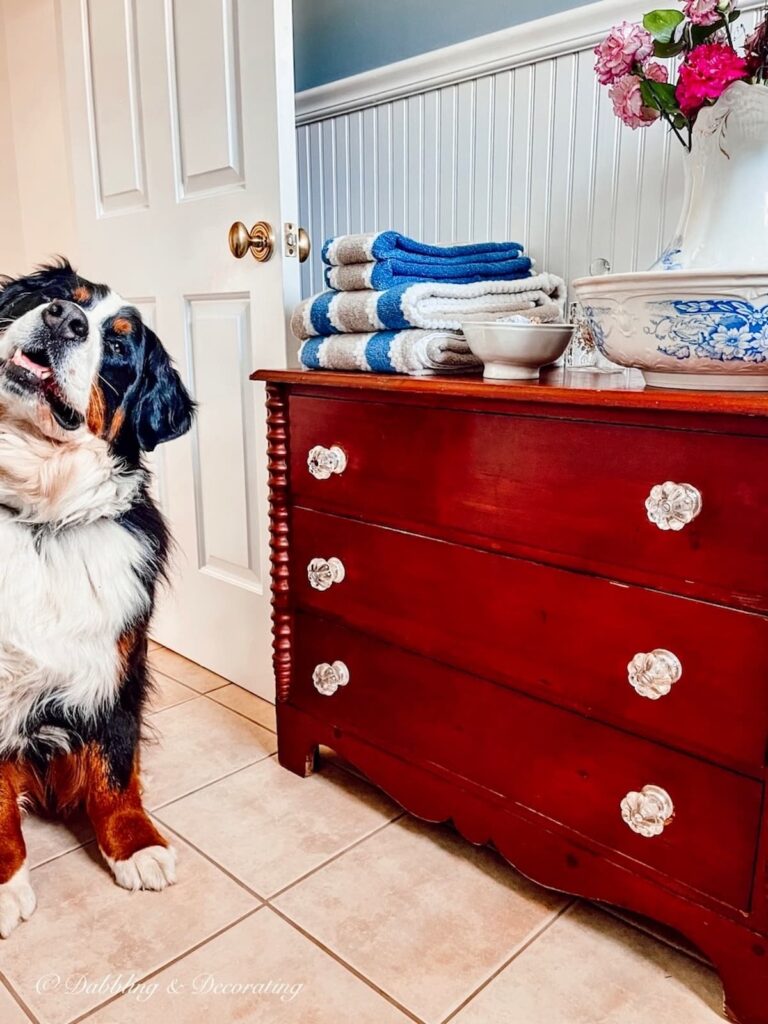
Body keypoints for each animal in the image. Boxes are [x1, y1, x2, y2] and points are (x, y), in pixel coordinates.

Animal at [0, 262, 193, 937]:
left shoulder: (117, 662)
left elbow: (114, 767)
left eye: (118, 346)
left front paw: (136, 846)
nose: (64, 320)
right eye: (54, 296)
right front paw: (5, 883)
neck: (40, 516)